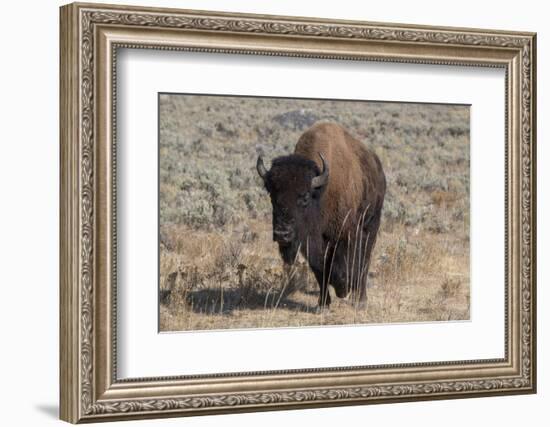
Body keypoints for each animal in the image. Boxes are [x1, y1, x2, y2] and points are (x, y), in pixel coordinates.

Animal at [258, 122, 388, 310]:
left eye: (304, 196)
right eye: (272, 195)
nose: (282, 234)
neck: (322, 192)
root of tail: (377, 165)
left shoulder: (348, 233)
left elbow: (347, 265)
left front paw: (343, 289)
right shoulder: (312, 241)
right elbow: (320, 270)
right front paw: (323, 304)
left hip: (371, 224)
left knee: (365, 259)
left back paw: (360, 300)